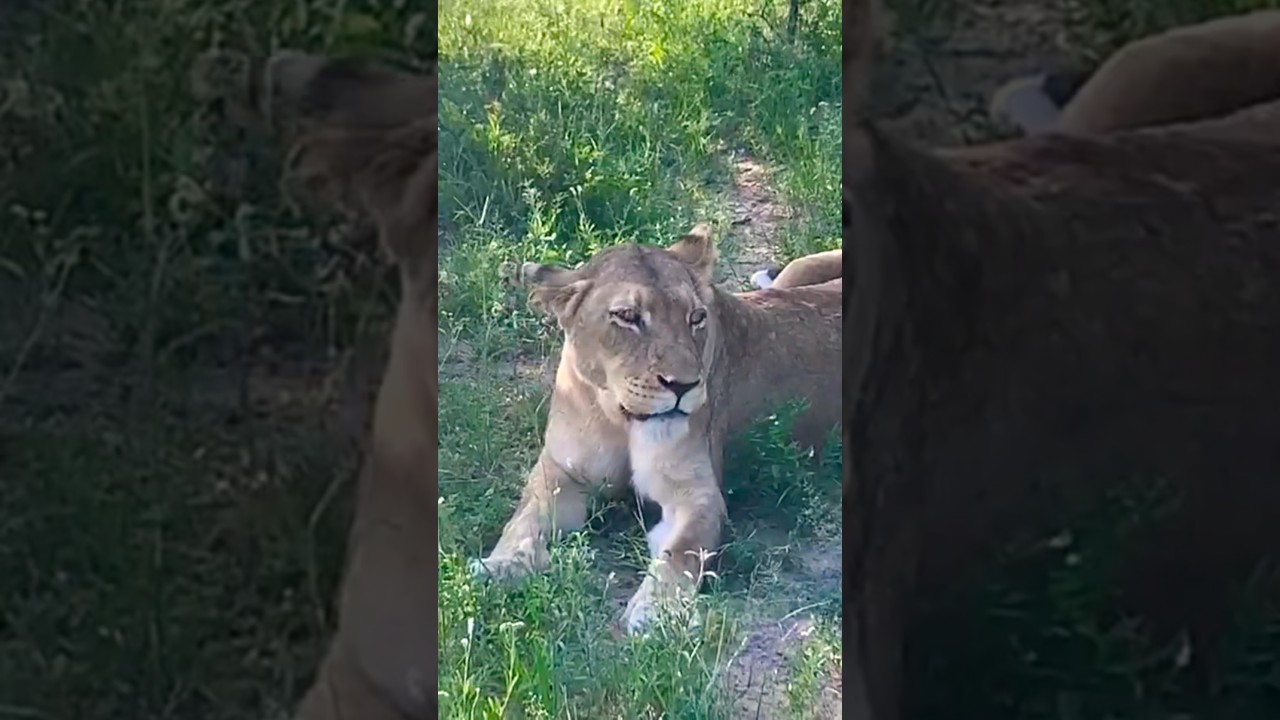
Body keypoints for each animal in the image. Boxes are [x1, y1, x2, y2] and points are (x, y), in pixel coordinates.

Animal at [470, 228, 841, 632]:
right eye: (628, 317)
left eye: (696, 317)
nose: (683, 386)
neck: (619, 419)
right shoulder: (560, 472)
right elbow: (524, 519)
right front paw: (499, 566)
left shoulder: (697, 496)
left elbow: (679, 551)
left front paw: (657, 610)